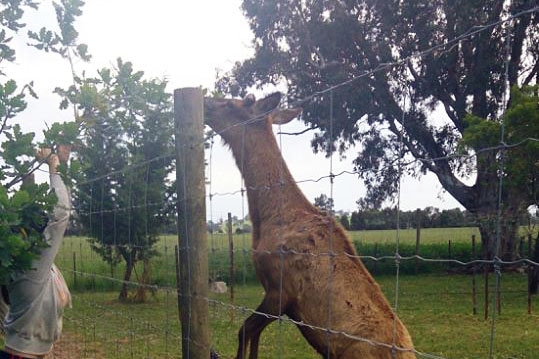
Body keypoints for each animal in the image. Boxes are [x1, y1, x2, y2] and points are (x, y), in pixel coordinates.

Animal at [205, 93, 416, 359]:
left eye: (238, 102)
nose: (205, 102)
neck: (266, 218)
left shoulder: (282, 290)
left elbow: (244, 330)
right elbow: (253, 336)